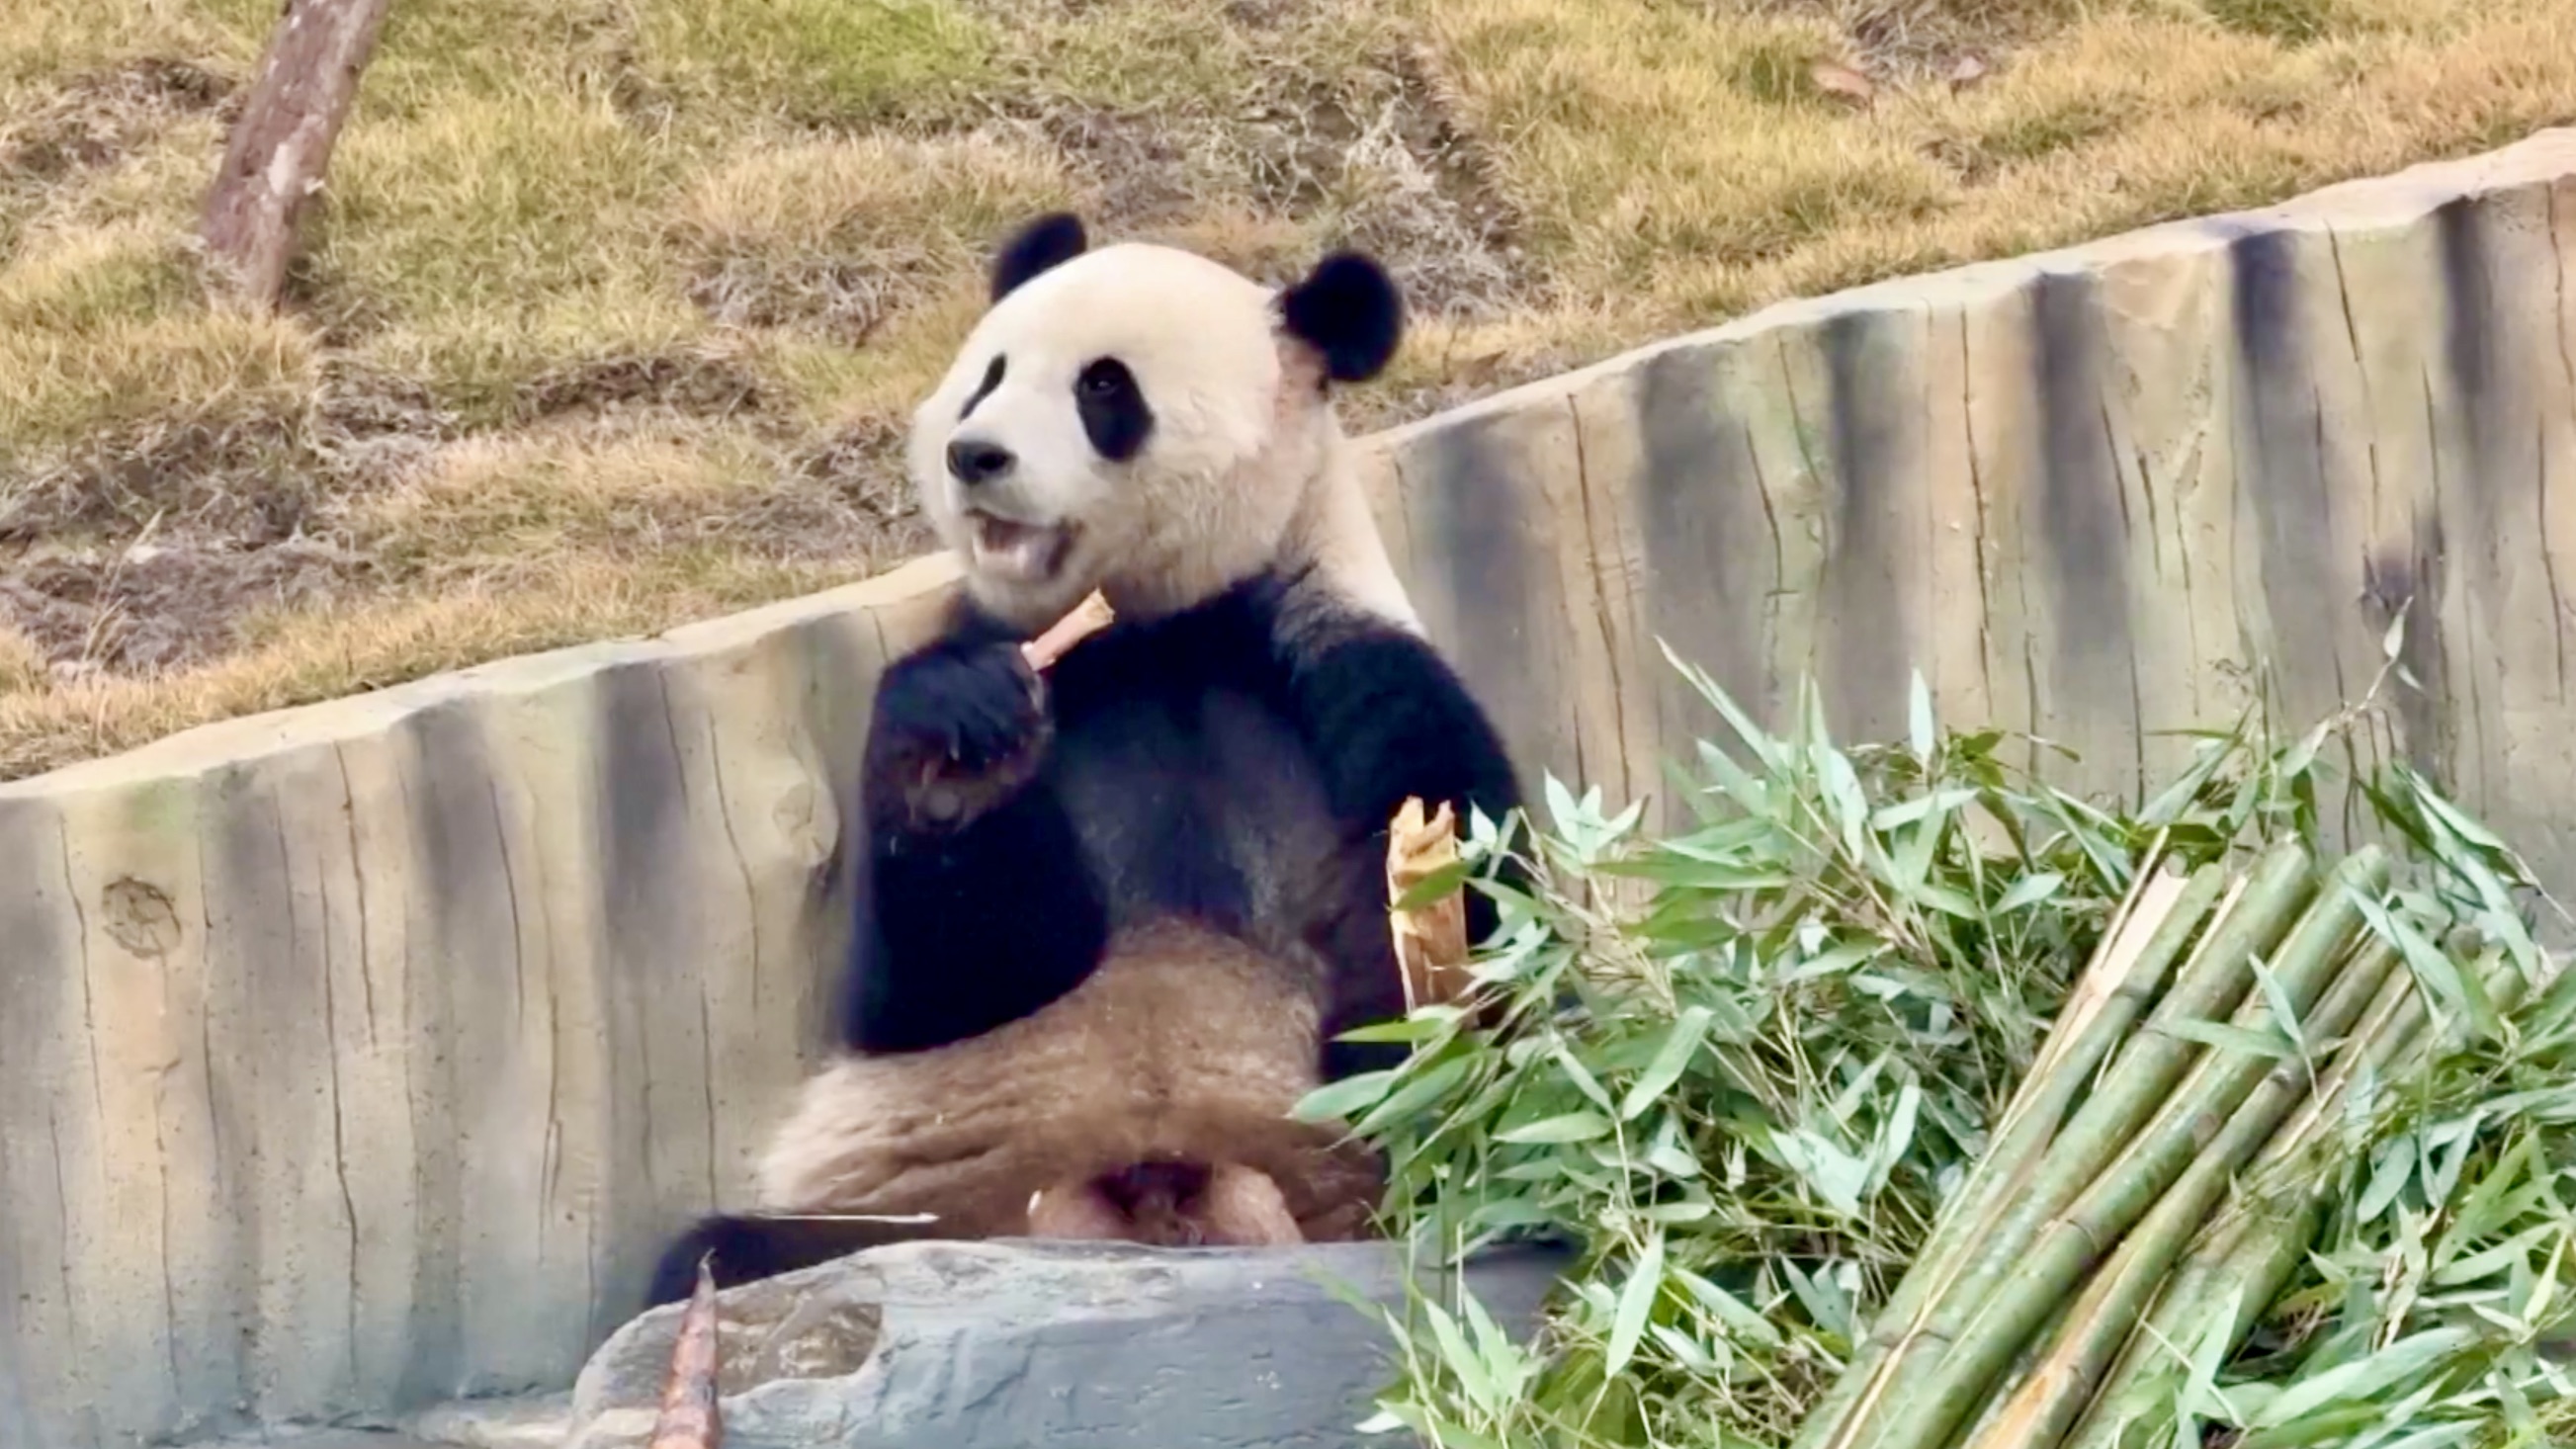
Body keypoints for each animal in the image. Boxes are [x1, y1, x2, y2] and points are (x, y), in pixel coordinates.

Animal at [643, 212, 1525, 1308]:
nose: (973, 453)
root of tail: (1144, 1198)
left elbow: (1465, 923)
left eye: (1103, 388)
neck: (1161, 622)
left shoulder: (1350, 664)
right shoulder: (1023, 648)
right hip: (913, 1223)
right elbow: (946, 986)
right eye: (989, 373)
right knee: (714, 1261)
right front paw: (956, 755)